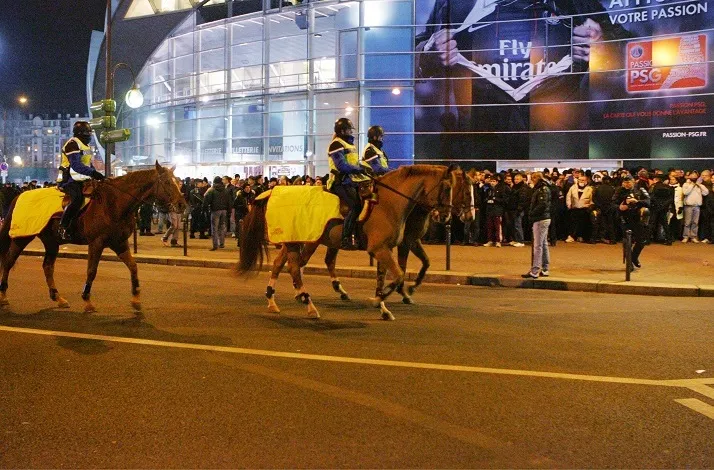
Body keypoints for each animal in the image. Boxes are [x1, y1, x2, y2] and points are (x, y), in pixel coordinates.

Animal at [0, 162, 186, 316]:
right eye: (167, 182)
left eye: (178, 182)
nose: (182, 205)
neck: (114, 203)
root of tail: (19, 196)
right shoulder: (96, 243)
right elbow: (91, 271)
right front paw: (87, 300)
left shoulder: (120, 243)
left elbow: (133, 267)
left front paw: (136, 299)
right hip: (22, 238)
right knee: (8, 262)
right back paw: (3, 295)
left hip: (52, 242)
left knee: (47, 267)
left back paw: (58, 298)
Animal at [236, 164, 464, 320]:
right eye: (446, 187)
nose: (446, 216)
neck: (387, 204)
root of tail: (273, 192)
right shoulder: (381, 249)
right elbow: (398, 275)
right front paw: (379, 300)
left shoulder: (386, 249)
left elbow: (382, 279)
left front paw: (383, 307)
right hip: (305, 241)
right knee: (295, 267)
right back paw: (307, 303)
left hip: (294, 240)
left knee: (280, 264)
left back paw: (274, 300)